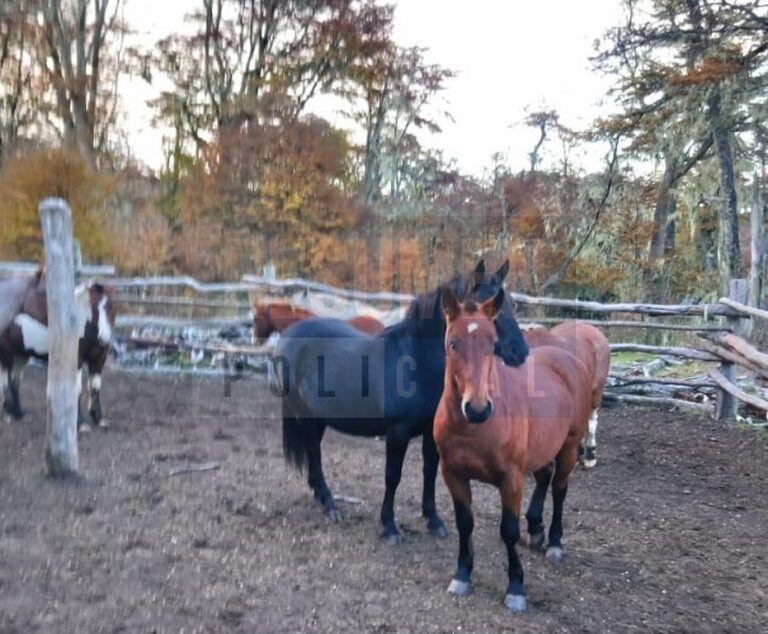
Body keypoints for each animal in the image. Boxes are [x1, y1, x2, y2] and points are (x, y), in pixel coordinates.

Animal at [272, 258, 532, 544]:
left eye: (511, 304)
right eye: (483, 306)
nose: (520, 352)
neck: (415, 361)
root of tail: (289, 335)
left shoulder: (430, 432)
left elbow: (429, 471)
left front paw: (433, 521)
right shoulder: (397, 433)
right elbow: (392, 476)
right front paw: (389, 527)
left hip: (318, 418)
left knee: (313, 452)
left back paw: (322, 498)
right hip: (305, 416)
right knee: (315, 454)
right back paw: (330, 505)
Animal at [436, 288, 592, 612]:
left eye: (492, 343)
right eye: (453, 343)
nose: (477, 409)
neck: (472, 429)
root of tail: (569, 359)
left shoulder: (511, 479)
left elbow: (508, 530)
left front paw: (516, 588)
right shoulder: (452, 474)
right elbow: (464, 523)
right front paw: (462, 575)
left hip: (569, 447)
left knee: (559, 489)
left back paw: (555, 543)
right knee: (545, 477)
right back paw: (536, 530)